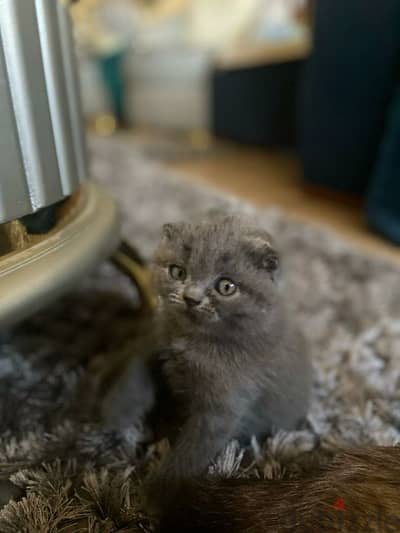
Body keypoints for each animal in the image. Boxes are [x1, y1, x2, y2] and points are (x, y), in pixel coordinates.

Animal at [151, 214, 312, 484]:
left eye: (226, 286)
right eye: (178, 271)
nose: (191, 298)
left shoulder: (224, 407)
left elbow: (191, 451)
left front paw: (156, 488)